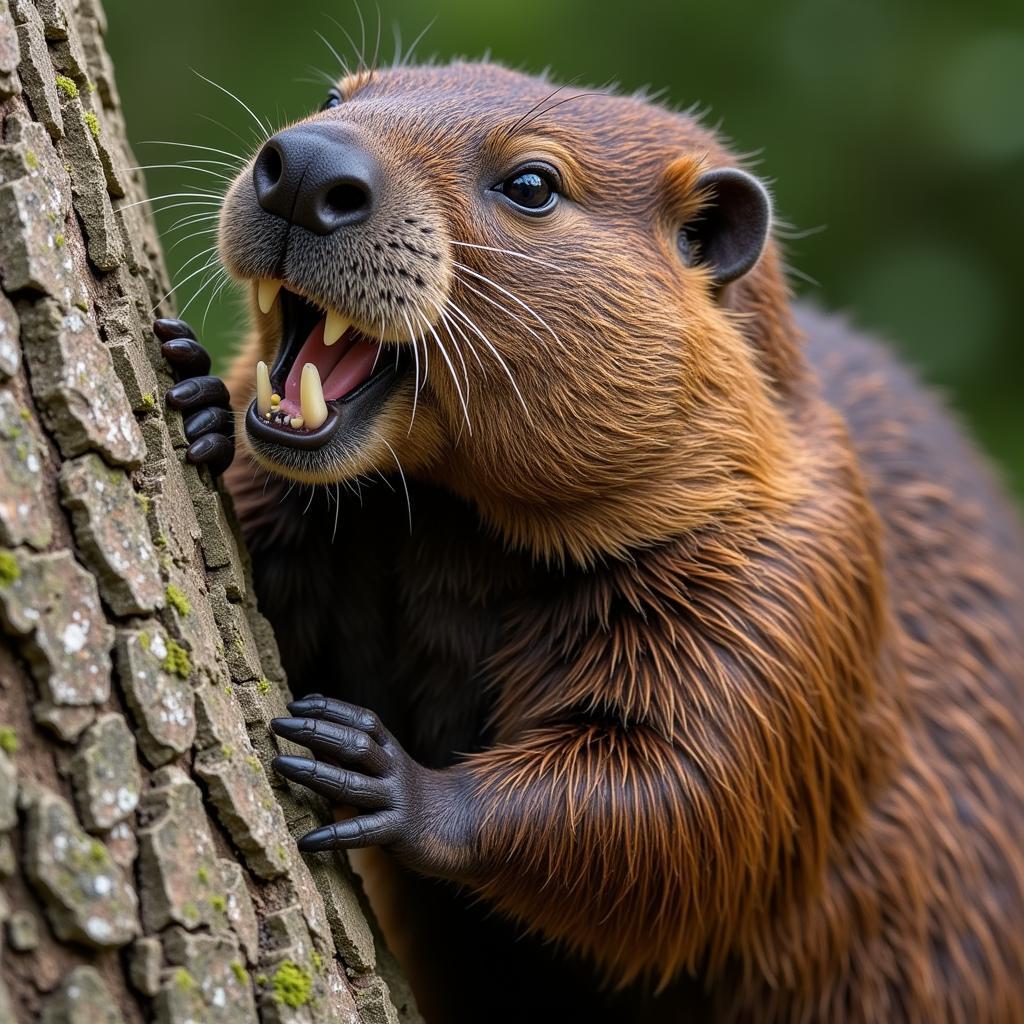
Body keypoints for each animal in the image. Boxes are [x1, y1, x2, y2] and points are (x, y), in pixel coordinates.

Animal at [155, 61, 1024, 1024]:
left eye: (533, 184)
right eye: (336, 98)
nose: (307, 169)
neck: (455, 537)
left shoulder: (792, 578)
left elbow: (690, 797)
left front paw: (381, 773)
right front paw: (198, 392)